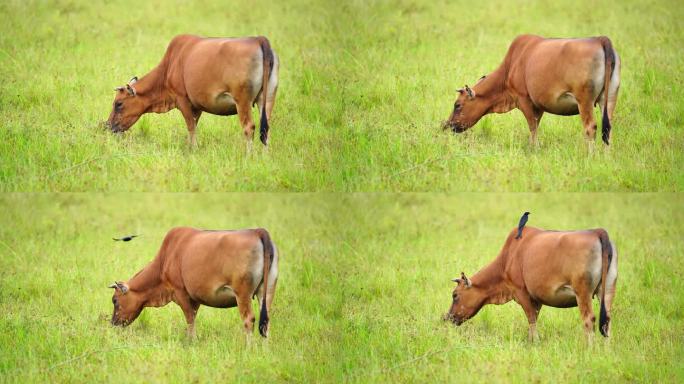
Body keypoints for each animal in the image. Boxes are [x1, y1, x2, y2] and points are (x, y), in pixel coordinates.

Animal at [107, 34, 278, 146]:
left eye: (119, 104)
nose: (108, 126)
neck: (170, 65)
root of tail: (259, 39)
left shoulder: (182, 100)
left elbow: (190, 126)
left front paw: (192, 149)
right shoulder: (198, 105)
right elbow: (194, 125)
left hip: (242, 101)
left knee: (249, 127)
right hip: (267, 99)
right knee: (266, 129)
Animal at [107, 226, 278, 338]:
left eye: (115, 300)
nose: (113, 323)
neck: (166, 257)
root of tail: (258, 231)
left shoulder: (181, 292)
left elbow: (189, 319)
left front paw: (191, 341)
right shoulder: (195, 299)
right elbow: (193, 317)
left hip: (242, 294)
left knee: (249, 320)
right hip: (267, 291)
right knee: (266, 321)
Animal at [444, 35, 620, 146]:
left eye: (457, 105)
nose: (447, 125)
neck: (511, 65)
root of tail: (600, 39)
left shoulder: (524, 100)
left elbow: (532, 127)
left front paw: (533, 148)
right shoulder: (539, 105)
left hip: (584, 101)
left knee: (591, 127)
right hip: (610, 98)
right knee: (608, 128)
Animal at [446, 225, 616, 342]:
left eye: (455, 295)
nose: (447, 318)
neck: (507, 258)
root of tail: (597, 231)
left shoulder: (521, 292)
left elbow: (531, 319)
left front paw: (534, 342)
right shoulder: (537, 298)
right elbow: (534, 318)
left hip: (582, 292)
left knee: (589, 320)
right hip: (607, 289)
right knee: (606, 320)